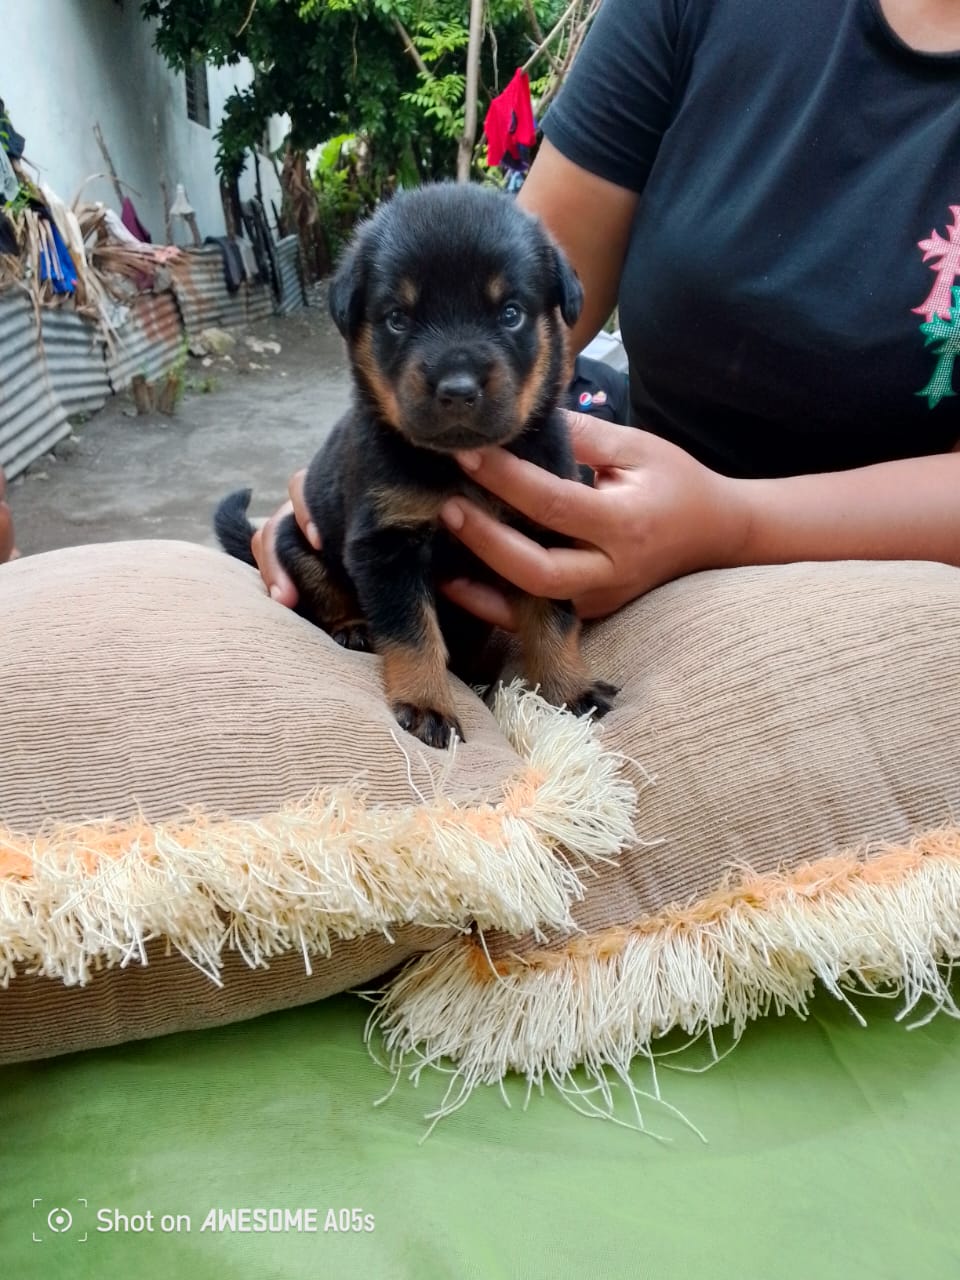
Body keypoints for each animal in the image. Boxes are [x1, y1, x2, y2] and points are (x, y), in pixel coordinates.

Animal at [215, 180, 619, 747]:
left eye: (510, 313)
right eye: (397, 318)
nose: (457, 389)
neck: (456, 465)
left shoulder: (543, 539)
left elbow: (553, 619)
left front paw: (570, 689)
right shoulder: (387, 544)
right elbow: (412, 631)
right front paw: (427, 704)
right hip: (298, 539)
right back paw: (352, 627)